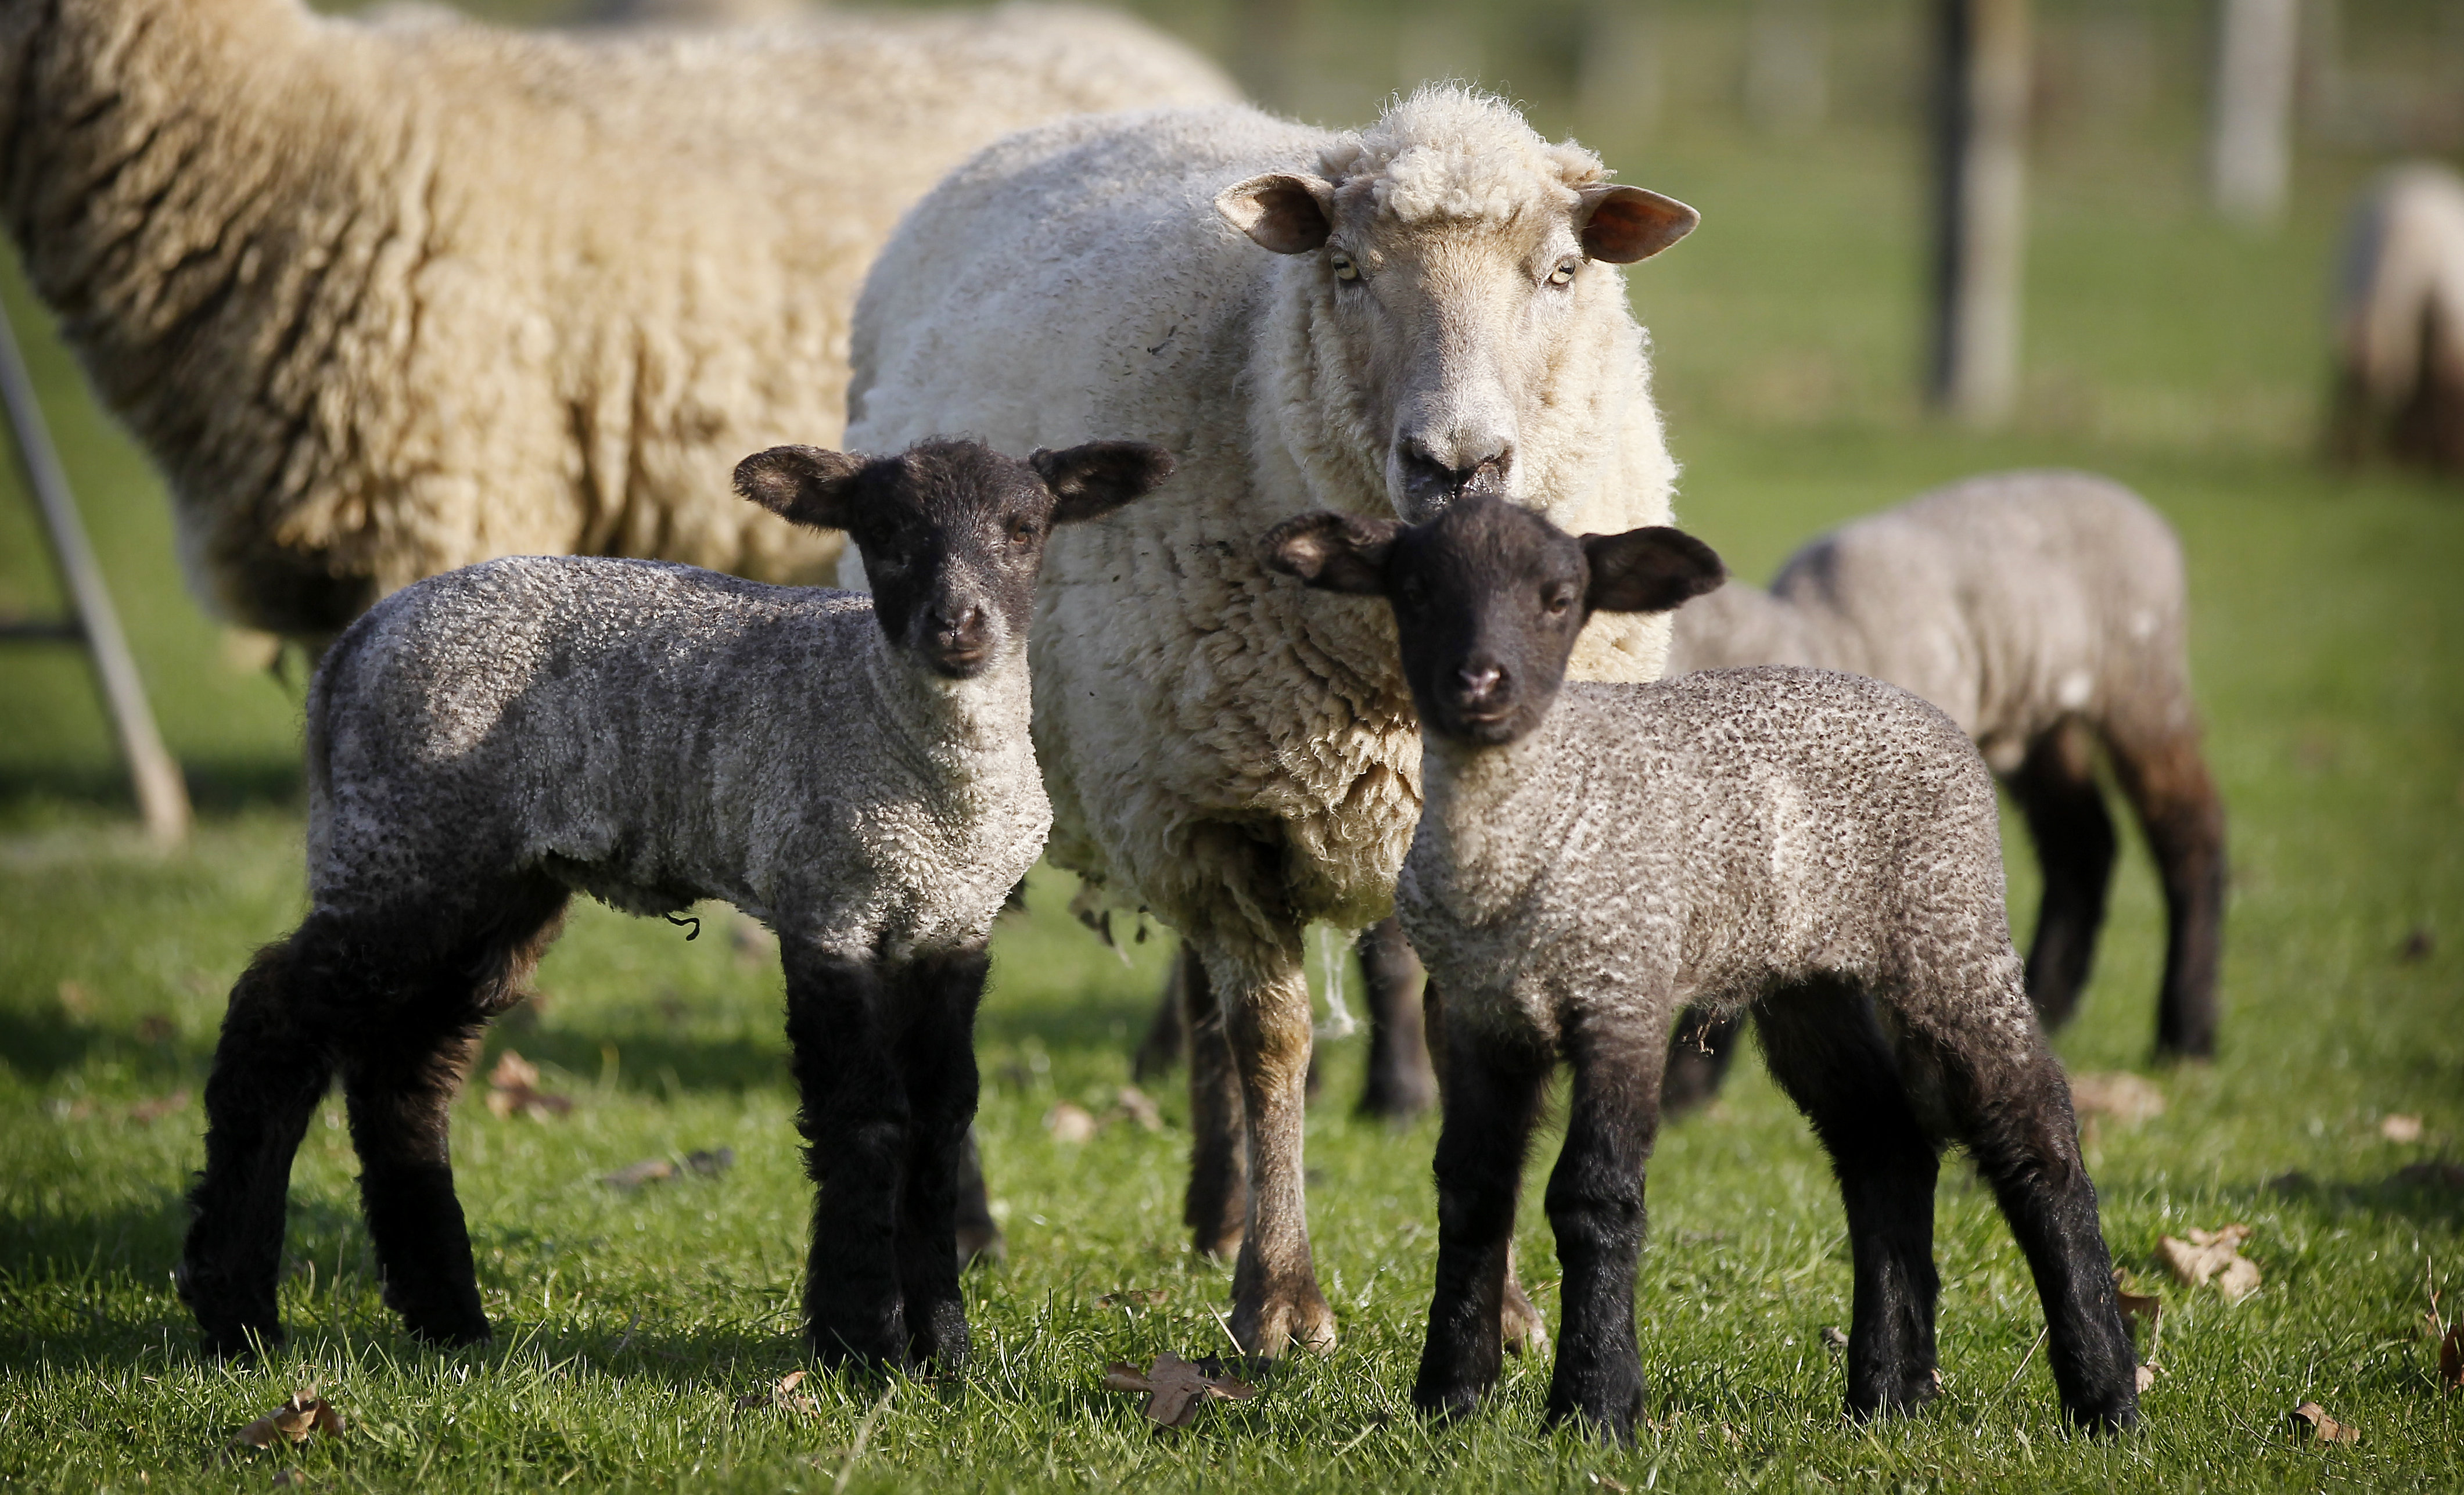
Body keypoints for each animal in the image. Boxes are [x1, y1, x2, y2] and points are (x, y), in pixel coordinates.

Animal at [174, 436, 1175, 1365]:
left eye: (1024, 528)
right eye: (885, 532)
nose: (957, 623)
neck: (924, 772)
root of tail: (353, 646)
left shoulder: (952, 927)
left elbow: (938, 1122)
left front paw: (946, 1351)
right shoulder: (826, 905)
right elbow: (864, 1118)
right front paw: (860, 1344)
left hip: (495, 879)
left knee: (403, 1073)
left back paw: (449, 1319)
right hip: (405, 840)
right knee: (275, 1018)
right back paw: (236, 1313)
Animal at [840, 84, 1701, 1356]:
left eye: (1560, 272)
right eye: (1346, 269)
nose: (1459, 463)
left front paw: (1499, 1309)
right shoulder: (1206, 819)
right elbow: (1274, 1038)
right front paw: (1283, 1302)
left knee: (1191, 998)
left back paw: (1216, 1210)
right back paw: (979, 1227)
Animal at [1263, 495, 2140, 1441]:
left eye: (1559, 598)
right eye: (1415, 590)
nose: (1480, 682)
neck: (1514, 847)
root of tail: (1934, 717)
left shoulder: (1625, 993)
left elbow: (1594, 1195)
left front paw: (1594, 1406)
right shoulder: (1479, 1012)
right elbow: (1471, 1190)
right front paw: (1449, 1399)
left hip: (1949, 929)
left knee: (2036, 1136)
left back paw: (2106, 1398)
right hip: (1810, 983)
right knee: (1885, 1147)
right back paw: (1887, 1395)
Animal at [1656, 470, 2227, 1107]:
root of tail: (2114, 491)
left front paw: (1684, 1091)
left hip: (2140, 680)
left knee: (2189, 830)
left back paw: (2187, 1033)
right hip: (2035, 721)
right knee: (2082, 842)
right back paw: (2052, 1009)